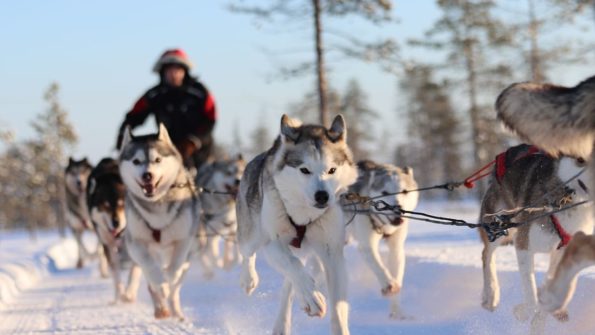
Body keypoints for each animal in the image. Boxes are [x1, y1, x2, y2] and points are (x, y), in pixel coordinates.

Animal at [87, 158, 142, 304]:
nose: (115, 223)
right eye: (105, 206)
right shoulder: (108, 245)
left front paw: (130, 293)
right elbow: (116, 274)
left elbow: (135, 270)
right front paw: (121, 295)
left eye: (122, 204)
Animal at [118, 124, 200, 320]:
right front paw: (161, 284)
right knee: (149, 279)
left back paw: (175, 310)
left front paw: (168, 278)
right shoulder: (136, 242)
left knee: (175, 288)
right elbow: (150, 268)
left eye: (157, 159)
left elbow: (174, 267)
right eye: (136, 161)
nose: (147, 175)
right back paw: (160, 307)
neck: (157, 206)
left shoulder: (183, 240)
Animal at [237, 114, 358, 334]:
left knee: (288, 287)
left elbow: (338, 307)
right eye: (304, 170)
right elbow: (292, 266)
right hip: (251, 235)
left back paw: (284, 322)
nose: (322, 196)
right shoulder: (273, 244)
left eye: (332, 170)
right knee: (249, 253)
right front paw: (312, 296)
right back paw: (248, 279)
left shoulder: (333, 254)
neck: (304, 215)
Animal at [346, 161, 416, 320]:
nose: (398, 210)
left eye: (404, 191)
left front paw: (397, 313)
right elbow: (379, 267)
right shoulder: (366, 245)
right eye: (385, 192)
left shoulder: (396, 247)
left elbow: (397, 273)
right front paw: (389, 285)